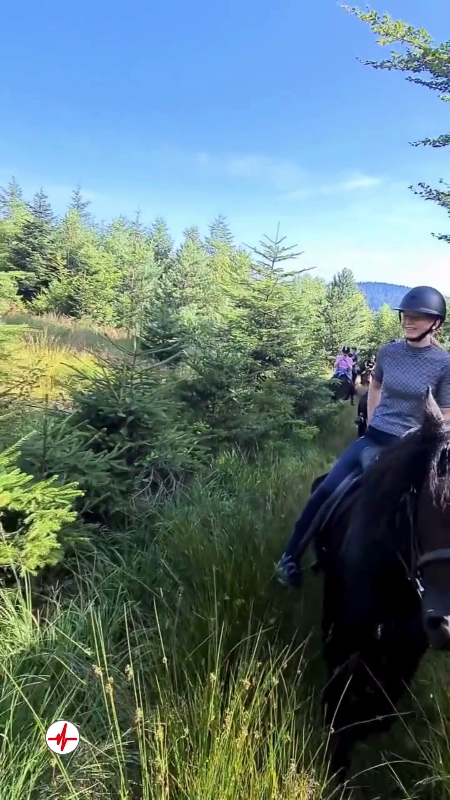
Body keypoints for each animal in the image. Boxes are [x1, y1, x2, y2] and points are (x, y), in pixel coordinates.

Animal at [309, 389, 450, 784]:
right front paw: (336, 772)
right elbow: (338, 707)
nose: (446, 624)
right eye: (428, 504)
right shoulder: (339, 637)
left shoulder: (407, 651)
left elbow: (381, 707)